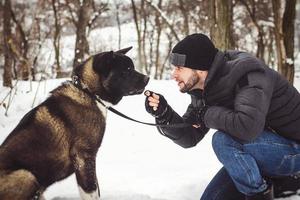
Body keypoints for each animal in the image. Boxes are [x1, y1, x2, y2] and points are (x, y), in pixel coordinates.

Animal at [0, 47, 149, 200]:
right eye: (127, 70)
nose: (147, 78)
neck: (88, 92)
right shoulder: (83, 156)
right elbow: (91, 190)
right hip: (26, 175)